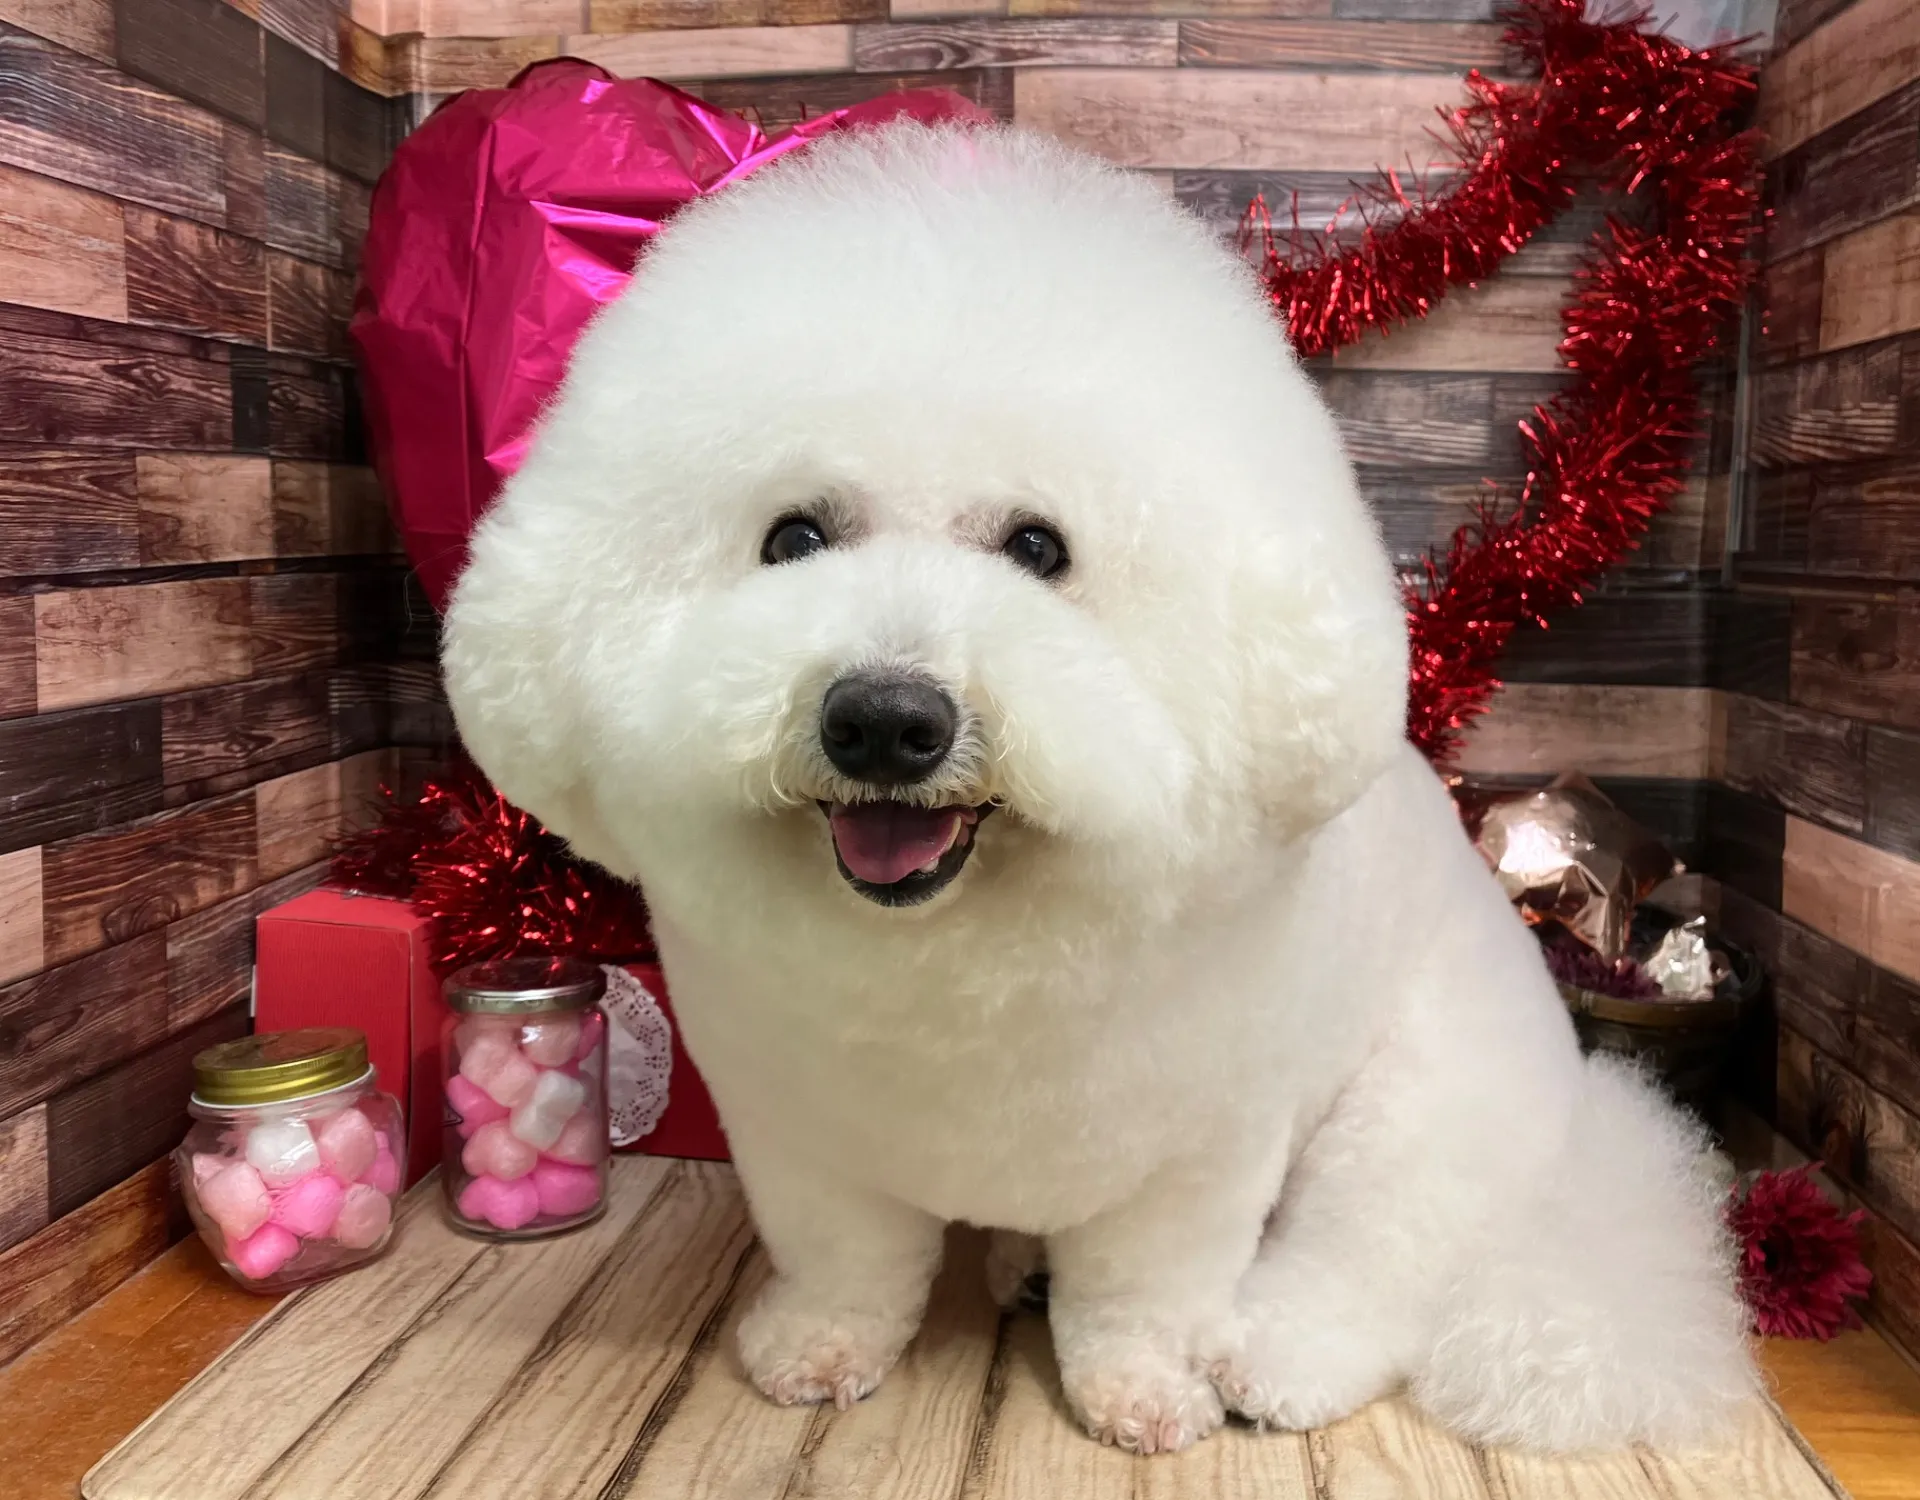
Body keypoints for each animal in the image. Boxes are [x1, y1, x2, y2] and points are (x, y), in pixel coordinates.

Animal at [442, 122, 1755, 1455]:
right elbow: (849, 1266)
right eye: (792, 540)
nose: (886, 722)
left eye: (1039, 549)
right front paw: (819, 1348)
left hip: (1420, 1108)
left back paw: (1267, 1356)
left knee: (1375, 1262)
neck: (952, 970)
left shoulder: (1196, 1163)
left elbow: (1139, 1296)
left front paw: (1144, 1390)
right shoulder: (801, 1140)